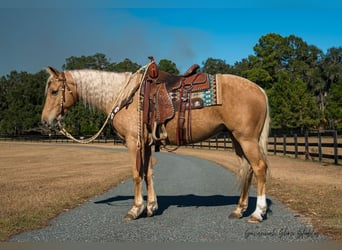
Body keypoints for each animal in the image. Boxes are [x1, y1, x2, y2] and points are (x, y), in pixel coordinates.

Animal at [40, 64, 270, 223]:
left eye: (54, 92)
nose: (45, 121)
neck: (126, 96)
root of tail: (259, 89)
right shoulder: (147, 144)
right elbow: (148, 173)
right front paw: (150, 206)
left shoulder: (133, 142)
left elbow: (136, 174)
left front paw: (135, 209)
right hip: (236, 139)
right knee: (247, 169)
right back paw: (239, 210)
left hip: (246, 139)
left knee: (259, 168)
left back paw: (257, 213)